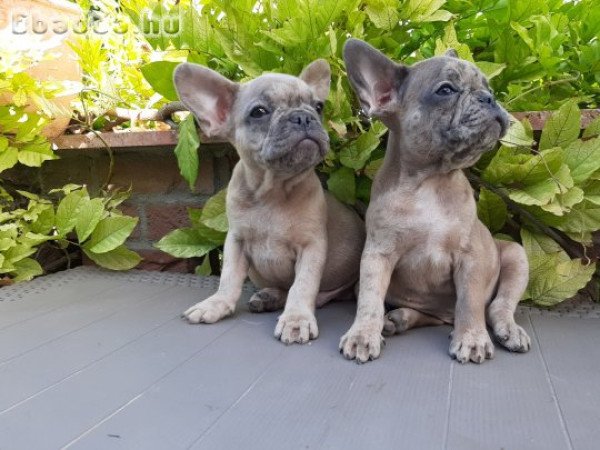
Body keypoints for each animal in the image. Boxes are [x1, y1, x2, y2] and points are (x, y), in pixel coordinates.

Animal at [340, 37, 532, 364]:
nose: (488, 98)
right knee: (429, 315)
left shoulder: (471, 257)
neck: (429, 181)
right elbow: (370, 299)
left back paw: (509, 329)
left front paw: (471, 338)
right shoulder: (378, 254)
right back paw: (399, 319)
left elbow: (469, 301)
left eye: (488, 87)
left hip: (516, 256)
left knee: (498, 306)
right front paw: (363, 334)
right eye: (446, 90)